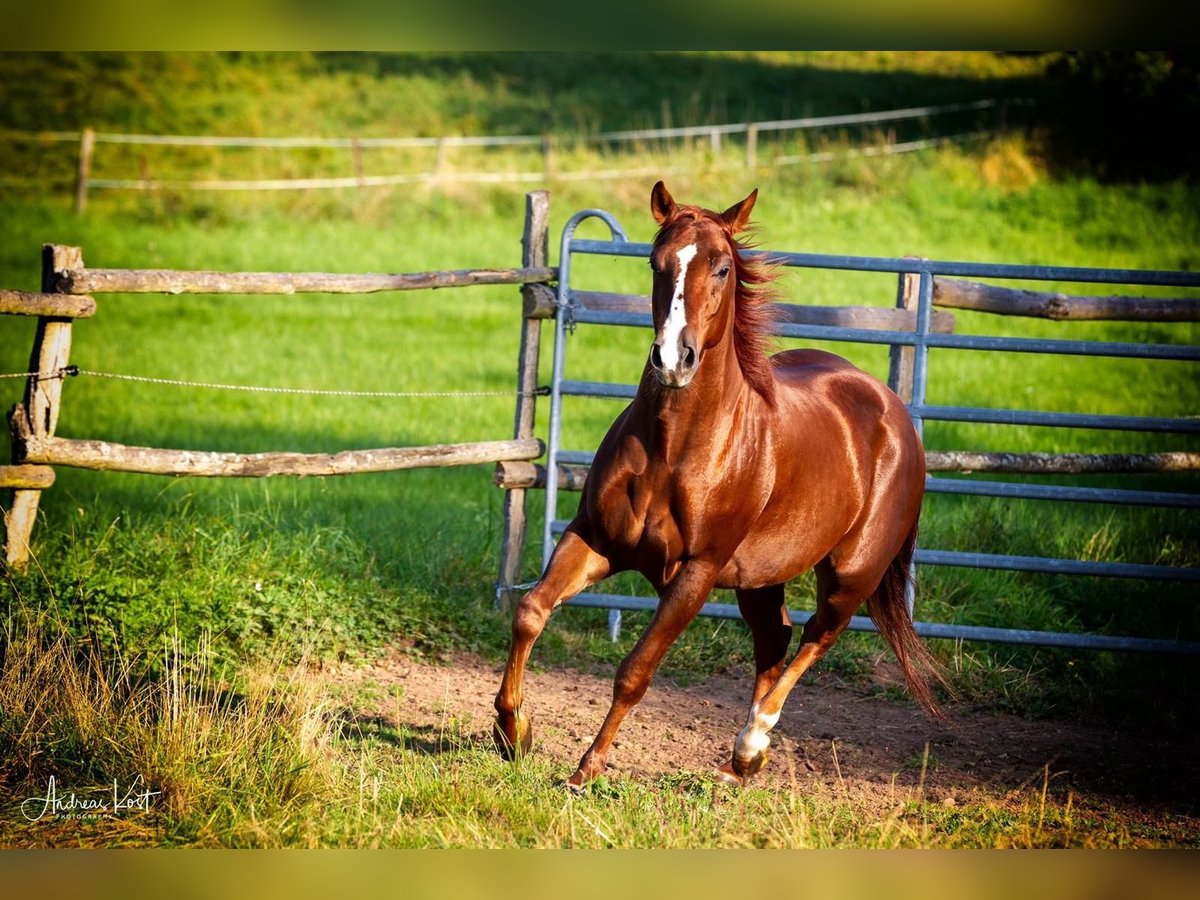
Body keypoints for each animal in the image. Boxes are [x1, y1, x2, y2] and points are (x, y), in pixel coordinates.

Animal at [494, 181, 944, 789]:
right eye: (656, 261)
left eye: (723, 267)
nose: (672, 359)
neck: (674, 448)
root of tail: (891, 409)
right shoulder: (594, 539)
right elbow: (530, 612)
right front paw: (513, 733)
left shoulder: (697, 573)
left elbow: (635, 672)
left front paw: (585, 770)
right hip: (760, 577)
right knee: (776, 638)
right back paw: (738, 765)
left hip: (851, 575)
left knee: (817, 637)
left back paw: (753, 744)